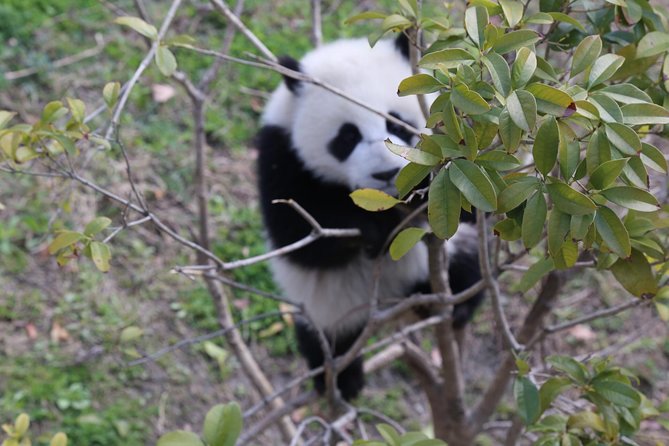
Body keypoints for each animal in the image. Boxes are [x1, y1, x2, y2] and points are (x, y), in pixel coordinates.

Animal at [257, 35, 484, 401]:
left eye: (395, 122)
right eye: (347, 137)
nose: (386, 173)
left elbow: (470, 205)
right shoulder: (280, 156)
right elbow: (299, 238)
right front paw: (374, 230)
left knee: (466, 260)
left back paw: (457, 307)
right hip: (327, 307)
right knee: (325, 339)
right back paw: (341, 381)